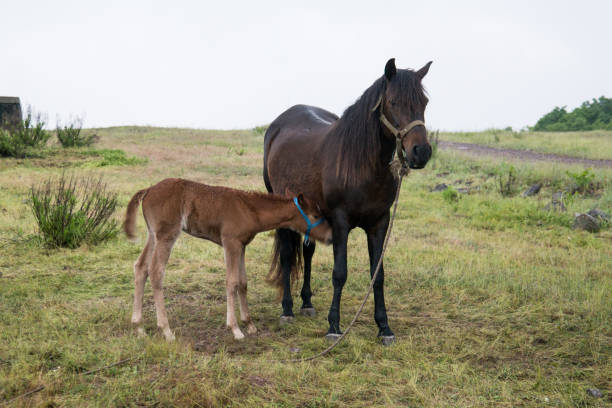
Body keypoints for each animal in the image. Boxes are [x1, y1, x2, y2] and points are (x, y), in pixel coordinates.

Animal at [123, 178, 330, 342]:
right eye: (316, 215)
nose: (330, 237)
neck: (250, 209)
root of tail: (148, 190)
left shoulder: (242, 246)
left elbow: (243, 282)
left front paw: (250, 324)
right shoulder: (230, 242)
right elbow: (232, 282)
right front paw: (235, 329)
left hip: (153, 235)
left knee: (140, 267)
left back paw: (139, 327)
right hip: (167, 235)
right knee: (156, 271)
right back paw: (166, 330)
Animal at [262, 59, 430, 342]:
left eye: (425, 102)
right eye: (393, 101)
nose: (422, 152)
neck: (361, 165)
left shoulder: (379, 223)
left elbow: (378, 275)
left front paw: (384, 327)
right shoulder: (341, 222)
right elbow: (339, 273)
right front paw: (334, 326)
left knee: (307, 252)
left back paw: (306, 303)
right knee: (286, 255)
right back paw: (287, 309)